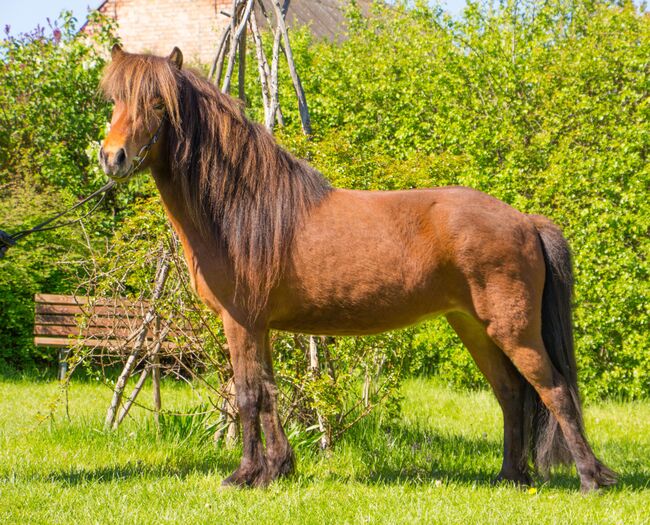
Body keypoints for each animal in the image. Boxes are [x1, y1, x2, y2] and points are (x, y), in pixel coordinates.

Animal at [100, 46, 612, 492]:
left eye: (157, 101)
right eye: (114, 99)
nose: (112, 157)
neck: (245, 208)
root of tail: (525, 220)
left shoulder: (240, 322)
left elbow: (246, 394)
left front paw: (243, 476)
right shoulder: (260, 326)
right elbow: (267, 393)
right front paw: (276, 470)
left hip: (514, 330)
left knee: (554, 390)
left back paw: (589, 478)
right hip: (474, 327)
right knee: (511, 394)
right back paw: (511, 477)